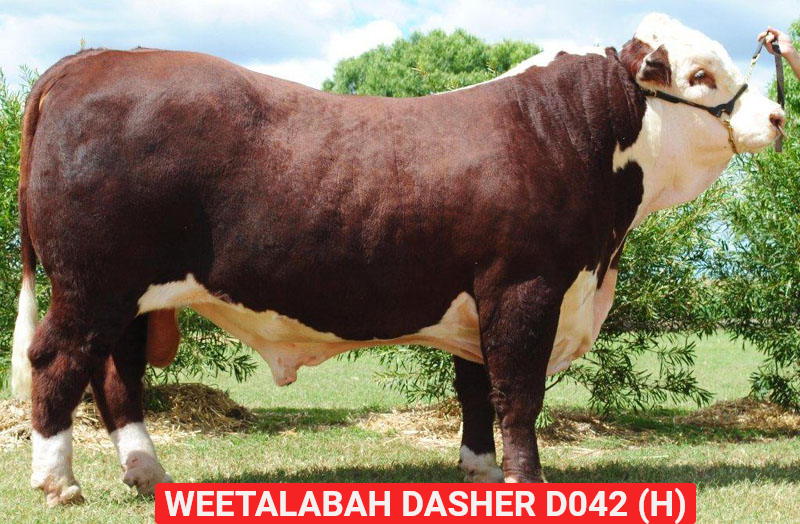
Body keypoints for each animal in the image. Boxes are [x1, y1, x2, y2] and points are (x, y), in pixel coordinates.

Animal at [10, 13, 784, 506]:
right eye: (700, 74)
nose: (777, 117)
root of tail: (97, 58)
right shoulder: (526, 287)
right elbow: (518, 392)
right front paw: (527, 482)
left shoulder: (482, 298)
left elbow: (476, 387)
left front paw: (478, 472)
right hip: (93, 284)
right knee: (57, 360)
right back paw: (60, 482)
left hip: (135, 296)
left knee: (117, 374)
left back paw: (148, 473)